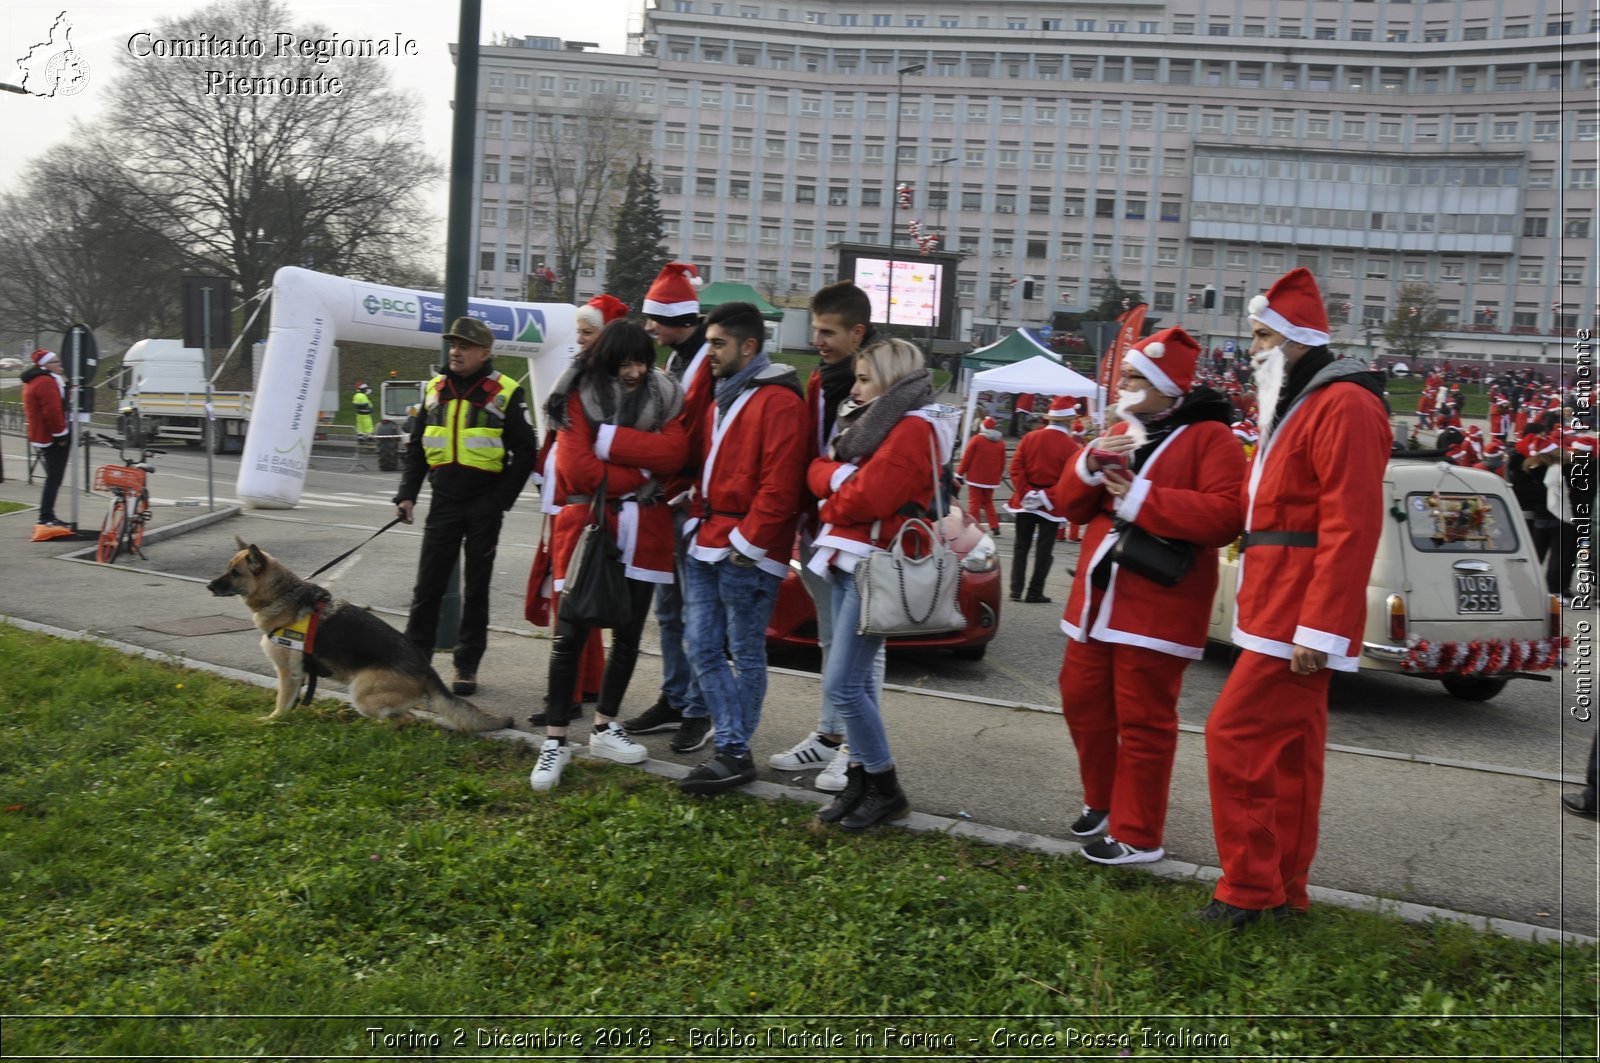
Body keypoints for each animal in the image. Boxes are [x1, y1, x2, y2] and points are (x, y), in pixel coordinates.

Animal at [204, 541, 505, 730]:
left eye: (235, 573)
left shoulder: (287, 674)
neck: (281, 593)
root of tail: (427, 669)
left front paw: (273, 720)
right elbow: (293, 701)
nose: (209, 586)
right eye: (227, 568)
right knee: (405, 717)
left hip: (361, 691)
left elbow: (282, 702)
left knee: (405, 719)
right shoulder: (300, 675)